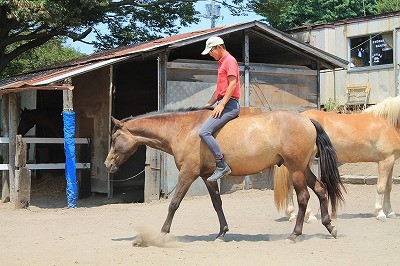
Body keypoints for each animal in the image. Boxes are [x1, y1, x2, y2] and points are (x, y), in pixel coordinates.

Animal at [104, 107, 346, 243]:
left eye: (114, 139)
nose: (107, 165)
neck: (184, 129)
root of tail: (307, 120)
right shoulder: (207, 177)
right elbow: (217, 203)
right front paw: (222, 233)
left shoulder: (188, 174)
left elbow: (173, 204)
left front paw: (161, 234)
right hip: (303, 168)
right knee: (321, 190)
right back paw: (330, 227)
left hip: (295, 169)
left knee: (304, 198)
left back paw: (294, 235)